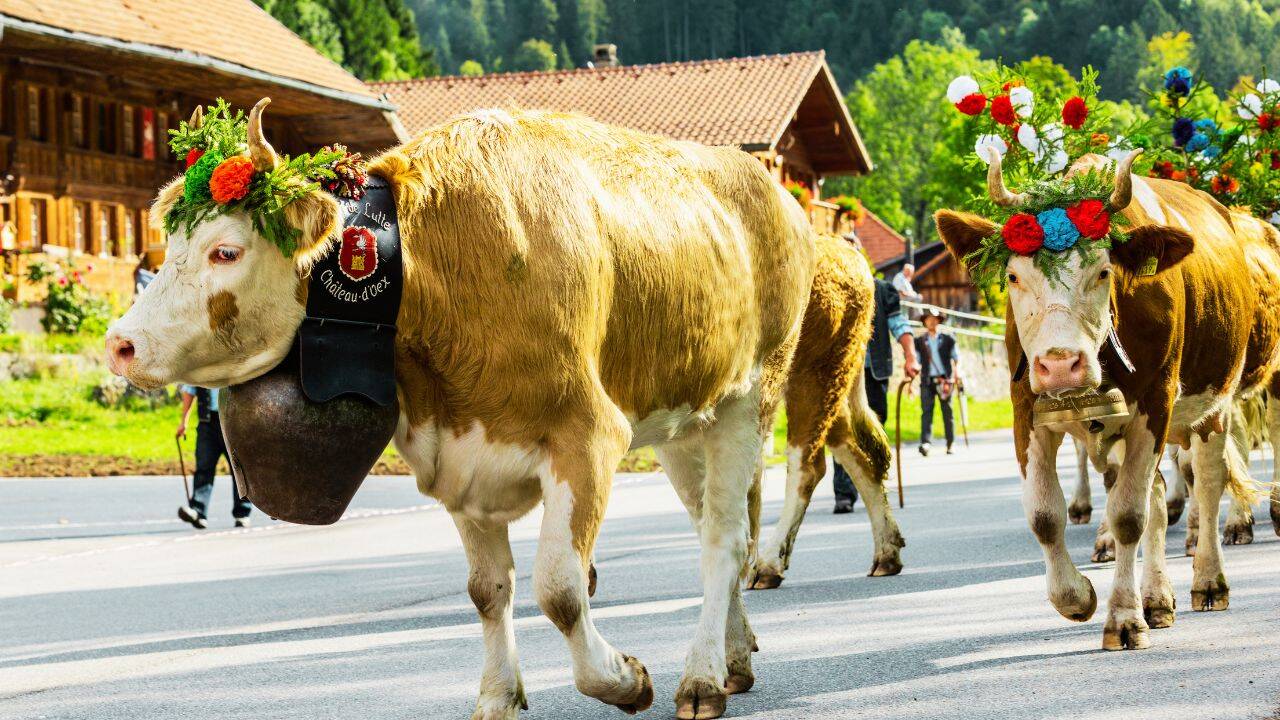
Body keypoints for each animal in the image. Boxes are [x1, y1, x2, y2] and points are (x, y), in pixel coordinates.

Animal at [105, 101, 817, 719]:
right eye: (169, 244)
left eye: (225, 250)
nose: (120, 343)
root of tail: (768, 183)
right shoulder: (458, 456)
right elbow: (487, 591)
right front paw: (498, 698)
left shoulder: (588, 437)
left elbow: (560, 590)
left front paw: (623, 680)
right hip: (684, 424)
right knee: (718, 526)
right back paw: (734, 658)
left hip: (750, 398)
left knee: (725, 539)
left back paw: (700, 679)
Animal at [747, 234, 906, 590]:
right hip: (828, 386)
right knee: (860, 455)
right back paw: (886, 554)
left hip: (813, 375)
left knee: (806, 466)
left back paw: (768, 564)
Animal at [934, 149, 1280, 650]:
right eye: (1014, 276)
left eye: (1103, 271)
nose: (1060, 364)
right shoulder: (1026, 410)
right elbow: (1045, 515)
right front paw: (1078, 597)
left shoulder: (1156, 406)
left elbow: (1129, 516)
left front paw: (1124, 619)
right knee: (1159, 494)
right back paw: (1157, 598)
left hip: (1214, 407)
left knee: (1209, 482)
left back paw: (1210, 579)